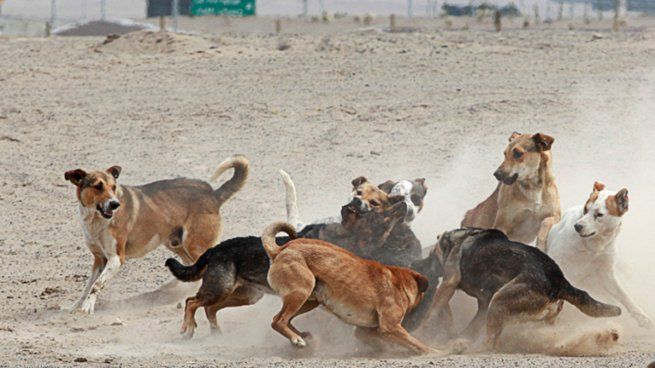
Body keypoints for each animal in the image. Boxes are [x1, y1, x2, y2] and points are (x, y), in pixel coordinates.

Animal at [64, 155, 249, 314]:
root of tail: (213, 194)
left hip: (194, 244)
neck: (96, 219)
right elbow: (88, 286)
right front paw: (76, 305)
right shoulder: (99, 259)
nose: (115, 204)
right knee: (191, 267)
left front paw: (87, 307)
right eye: (98, 186)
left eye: (113, 187)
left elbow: (96, 285)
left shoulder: (116, 258)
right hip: (175, 243)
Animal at [262, 221, 436, 354]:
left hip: (309, 301)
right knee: (278, 320)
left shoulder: (365, 331)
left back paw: (302, 336)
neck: (400, 282)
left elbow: (387, 343)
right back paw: (297, 339)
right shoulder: (390, 326)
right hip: (301, 291)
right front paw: (434, 351)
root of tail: (281, 249)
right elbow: (415, 342)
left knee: (282, 318)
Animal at [428, 227, 624, 350]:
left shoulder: (449, 283)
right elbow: (472, 325)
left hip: (499, 301)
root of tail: (559, 281)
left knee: (491, 344)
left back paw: (468, 349)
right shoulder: (483, 304)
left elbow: (432, 312)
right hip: (537, 318)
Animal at [540, 183, 652, 330]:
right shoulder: (556, 259)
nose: (577, 226)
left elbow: (624, 295)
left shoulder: (606, 273)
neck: (594, 245)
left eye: (599, 214)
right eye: (585, 209)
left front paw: (642, 317)